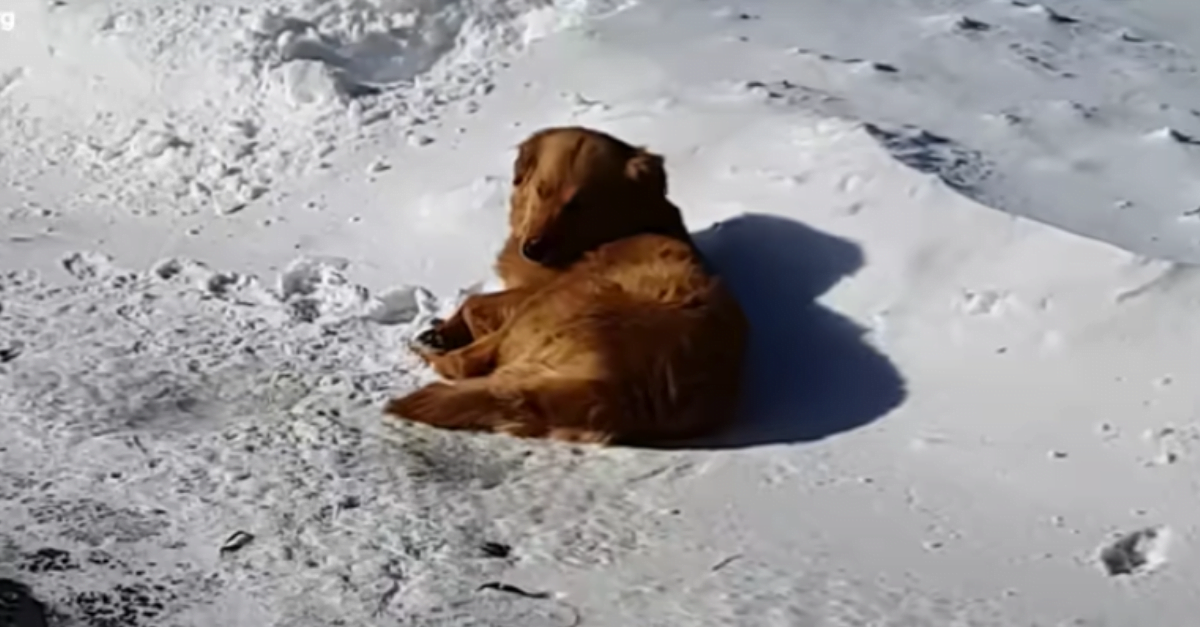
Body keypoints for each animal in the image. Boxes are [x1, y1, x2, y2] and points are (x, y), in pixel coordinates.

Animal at [381, 124, 748, 442]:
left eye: (577, 204)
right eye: (542, 190)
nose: (532, 249)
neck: (614, 230)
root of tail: (608, 388)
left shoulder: (531, 291)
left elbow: (473, 304)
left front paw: (443, 334)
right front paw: (441, 330)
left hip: (553, 303)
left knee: (467, 363)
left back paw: (428, 351)